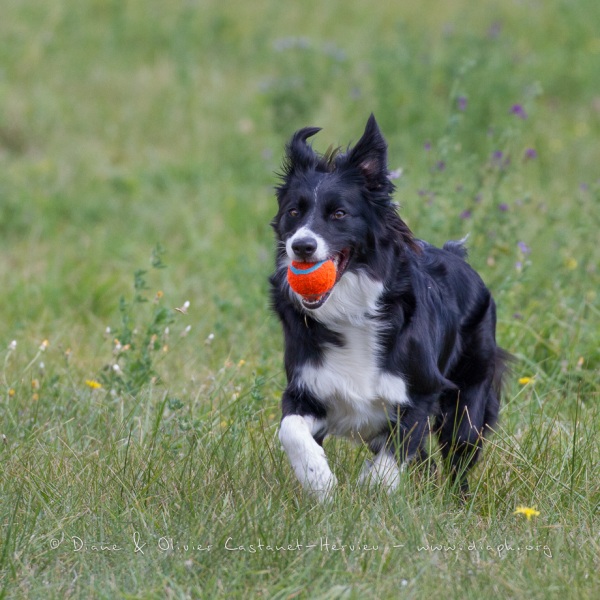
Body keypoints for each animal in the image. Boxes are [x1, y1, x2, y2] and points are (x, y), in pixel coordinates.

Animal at [270, 115, 508, 500]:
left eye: (339, 213)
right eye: (293, 211)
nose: (302, 246)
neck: (350, 309)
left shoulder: (422, 392)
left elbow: (392, 458)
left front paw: (370, 492)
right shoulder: (308, 388)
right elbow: (291, 429)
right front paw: (319, 481)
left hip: (469, 398)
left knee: (458, 457)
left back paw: (457, 502)